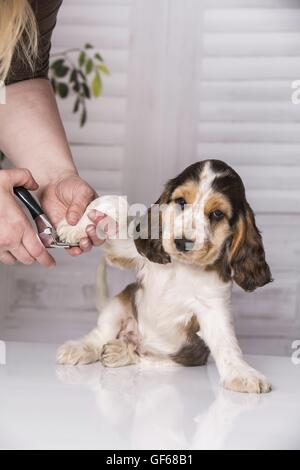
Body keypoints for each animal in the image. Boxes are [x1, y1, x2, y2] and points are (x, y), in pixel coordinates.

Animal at [56, 160, 274, 394]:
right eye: (180, 201)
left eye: (217, 214)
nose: (182, 242)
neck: (181, 267)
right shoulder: (126, 252)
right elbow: (115, 203)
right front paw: (73, 227)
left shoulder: (213, 306)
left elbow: (227, 344)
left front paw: (242, 374)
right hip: (119, 304)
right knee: (100, 336)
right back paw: (81, 348)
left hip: (175, 356)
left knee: (142, 356)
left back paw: (120, 351)